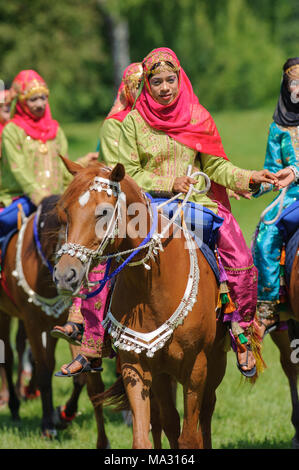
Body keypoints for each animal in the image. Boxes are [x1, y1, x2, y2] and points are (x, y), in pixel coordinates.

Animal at [0, 196, 109, 448]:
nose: (68, 277)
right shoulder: (33, 322)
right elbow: (43, 369)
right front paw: (47, 425)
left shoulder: (60, 324)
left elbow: (79, 376)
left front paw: (63, 415)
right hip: (4, 313)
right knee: (8, 357)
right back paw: (14, 406)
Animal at [53, 160, 227, 450]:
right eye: (65, 211)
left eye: (103, 212)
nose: (65, 274)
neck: (153, 287)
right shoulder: (135, 364)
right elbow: (144, 437)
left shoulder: (196, 368)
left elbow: (190, 437)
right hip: (162, 373)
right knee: (167, 420)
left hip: (216, 361)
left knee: (207, 411)